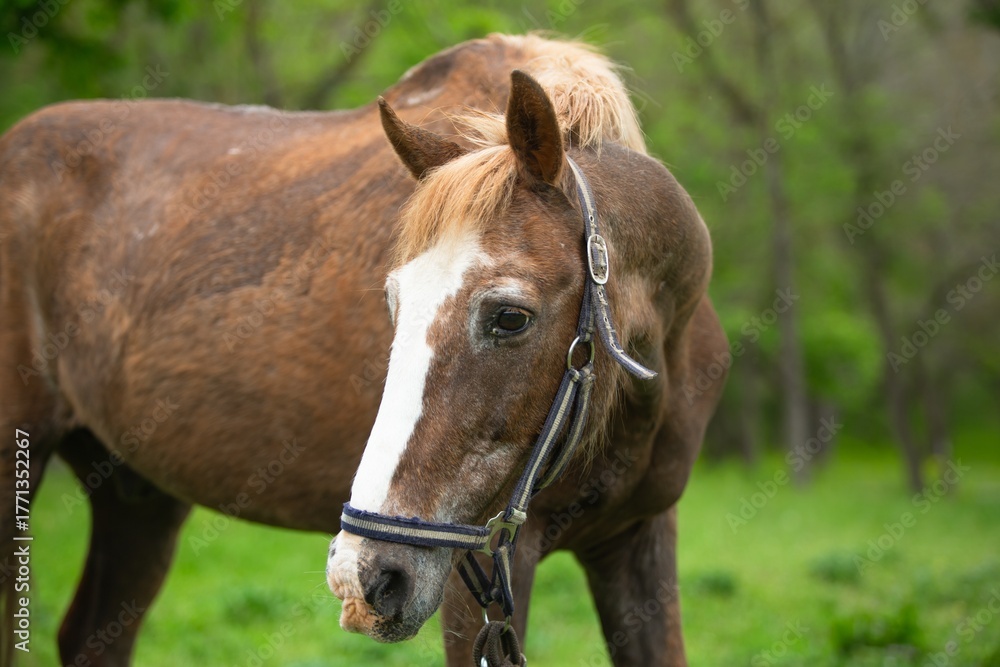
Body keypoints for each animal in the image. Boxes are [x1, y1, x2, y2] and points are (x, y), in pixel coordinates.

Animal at [0, 33, 727, 666]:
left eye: (510, 317)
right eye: (393, 302)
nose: (364, 576)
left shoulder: (637, 541)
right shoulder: (476, 580)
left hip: (138, 496)